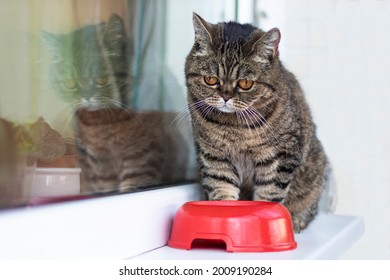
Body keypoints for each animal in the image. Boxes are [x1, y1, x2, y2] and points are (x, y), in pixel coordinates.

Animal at [185, 13, 330, 232]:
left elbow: (269, 197)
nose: (225, 96)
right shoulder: (214, 157)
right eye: (210, 79)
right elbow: (222, 191)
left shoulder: (280, 157)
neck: (234, 127)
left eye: (246, 83)